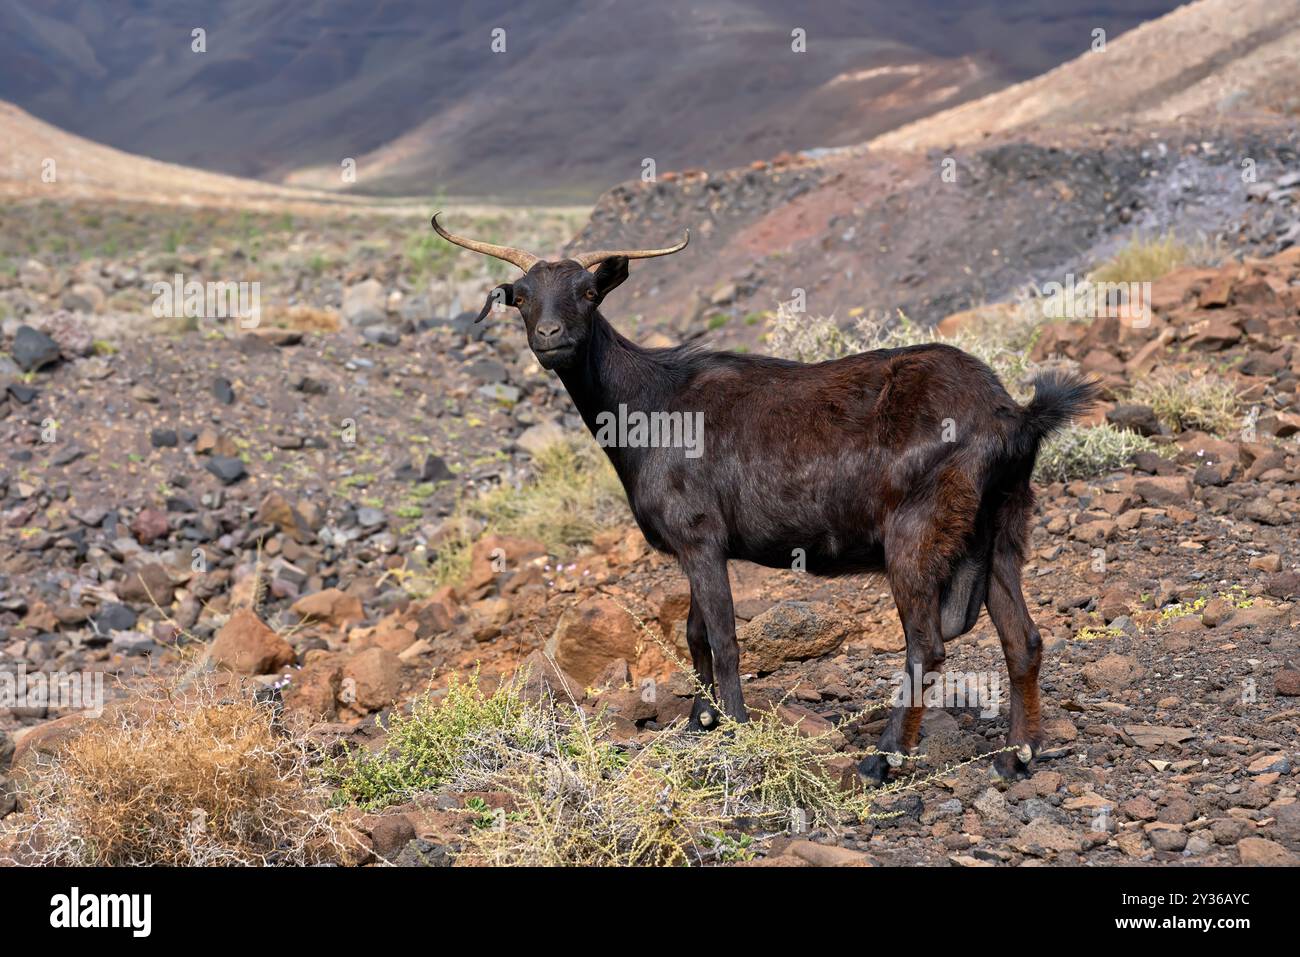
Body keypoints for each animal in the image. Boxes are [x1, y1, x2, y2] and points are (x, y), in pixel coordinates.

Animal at [432, 214, 1097, 782]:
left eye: (589, 292)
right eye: (522, 295)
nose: (550, 337)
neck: (649, 401)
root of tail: (1012, 415)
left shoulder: (699, 535)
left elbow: (724, 638)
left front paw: (734, 728)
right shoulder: (698, 548)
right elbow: (696, 632)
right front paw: (700, 722)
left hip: (917, 531)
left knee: (927, 647)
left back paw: (883, 760)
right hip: (1003, 528)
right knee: (1023, 640)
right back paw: (1018, 755)